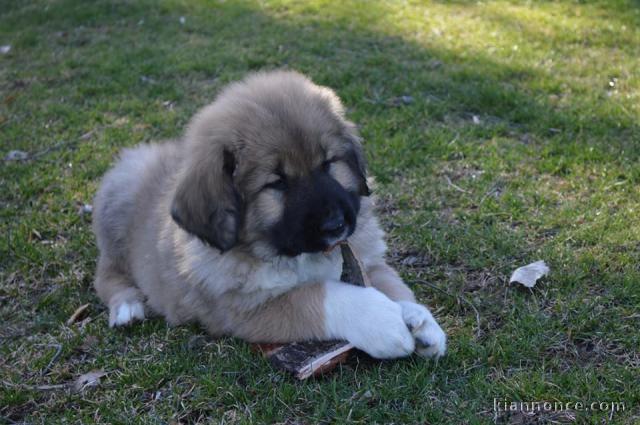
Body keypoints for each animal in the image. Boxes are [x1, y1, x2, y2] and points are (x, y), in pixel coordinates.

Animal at [92, 69, 448, 358]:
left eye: (328, 164)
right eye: (277, 183)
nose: (336, 225)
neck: (295, 253)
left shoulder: (366, 257)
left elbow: (390, 282)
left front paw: (419, 319)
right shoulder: (244, 309)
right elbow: (318, 295)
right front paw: (381, 320)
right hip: (117, 213)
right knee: (105, 273)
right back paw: (127, 306)